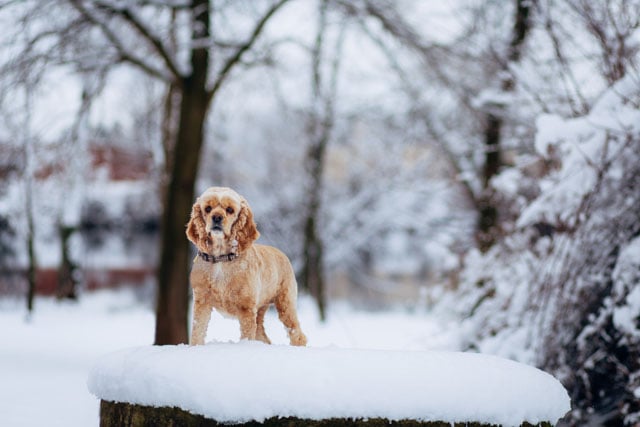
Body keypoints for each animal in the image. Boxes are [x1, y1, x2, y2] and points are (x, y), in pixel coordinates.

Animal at [185, 187, 308, 348]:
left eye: (230, 209)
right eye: (208, 208)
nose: (217, 217)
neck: (221, 259)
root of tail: (283, 254)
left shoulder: (246, 308)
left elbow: (247, 335)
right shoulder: (202, 301)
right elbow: (198, 330)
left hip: (286, 303)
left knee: (297, 333)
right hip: (261, 309)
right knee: (262, 335)